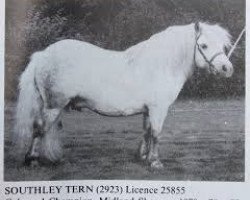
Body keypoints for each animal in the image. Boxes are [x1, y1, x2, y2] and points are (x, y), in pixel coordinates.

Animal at [14, 21, 232, 169]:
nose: (227, 68)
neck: (162, 64)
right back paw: (32, 160)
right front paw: (155, 162)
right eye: (203, 45)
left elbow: (146, 132)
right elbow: (156, 133)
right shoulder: (158, 108)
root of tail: (43, 55)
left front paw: (143, 157)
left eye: (223, 46)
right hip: (53, 106)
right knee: (39, 129)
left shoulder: (148, 110)